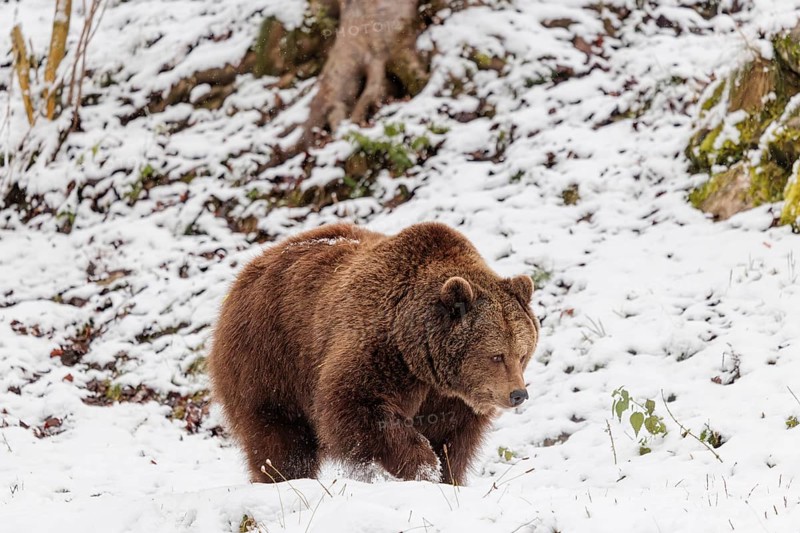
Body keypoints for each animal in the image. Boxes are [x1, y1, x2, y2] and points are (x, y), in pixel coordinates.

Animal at [207, 221, 540, 485]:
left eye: (522, 354)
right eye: (496, 355)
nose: (518, 394)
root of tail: (248, 270)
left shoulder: (449, 399)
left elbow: (452, 442)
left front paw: (447, 477)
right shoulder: (377, 351)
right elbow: (357, 406)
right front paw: (423, 468)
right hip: (271, 359)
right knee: (280, 437)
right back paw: (285, 479)